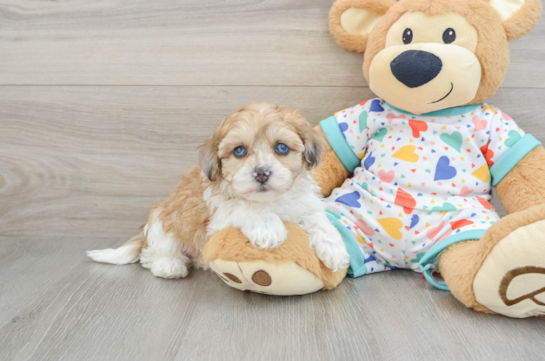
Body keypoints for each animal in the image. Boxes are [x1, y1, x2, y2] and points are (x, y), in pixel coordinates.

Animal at [87, 102, 346, 278]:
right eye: (239, 151)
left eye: (281, 148)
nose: (261, 173)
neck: (268, 201)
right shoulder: (218, 216)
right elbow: (243, 206)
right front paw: (269, 227)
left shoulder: (304, 203)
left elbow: (317, 218)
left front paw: (335, 248)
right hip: (163, 219)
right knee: (155, 253)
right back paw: (170, 265)